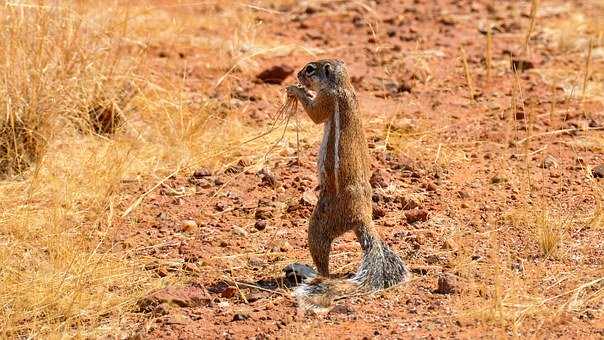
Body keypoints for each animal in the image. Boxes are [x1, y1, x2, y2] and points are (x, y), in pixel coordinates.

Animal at [284, 59, 408, 310]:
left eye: (310, 69)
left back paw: (308, 272)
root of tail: (362, 216)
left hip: (320, 224)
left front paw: (296, 90)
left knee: (323, 264)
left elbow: (315, 114)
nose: (298, 74)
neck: (343, 85)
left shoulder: (327, 99)